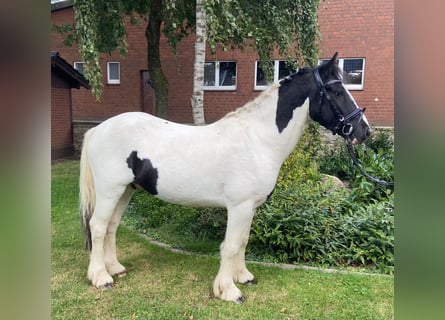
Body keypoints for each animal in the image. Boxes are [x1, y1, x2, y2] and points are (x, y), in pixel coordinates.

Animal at [78, 52, 370, 302]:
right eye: (336, 91)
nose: (364, 131)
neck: (257, 140)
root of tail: (98, 130)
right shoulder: (238, 207)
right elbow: (230, 245)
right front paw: (228, 291)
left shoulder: (250, 207)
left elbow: (242, 241)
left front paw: (243, 277)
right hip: (110, 191)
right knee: (98, 227)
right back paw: (101, 278)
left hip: (126, 190)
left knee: (111, 226)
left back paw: (114, 268)